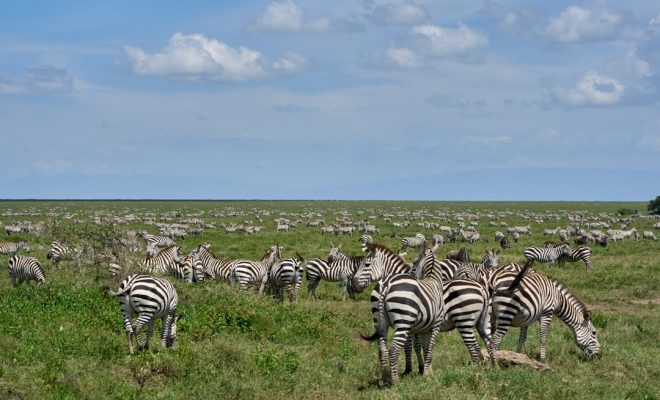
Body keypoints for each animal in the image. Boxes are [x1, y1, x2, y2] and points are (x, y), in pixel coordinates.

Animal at [360, 248, 444, 384]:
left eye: (414, 263)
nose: (410, 273)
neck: (433, 280)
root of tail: (386, 286)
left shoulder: (423, 328)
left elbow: (424, 347)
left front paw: (426, 370)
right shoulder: (434, 325)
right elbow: (426, 347)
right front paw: (423, 372)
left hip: (381, 322)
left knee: (382, 349)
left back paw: (384, 378)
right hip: (403, 322)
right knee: (393, 350)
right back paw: (395, 381)